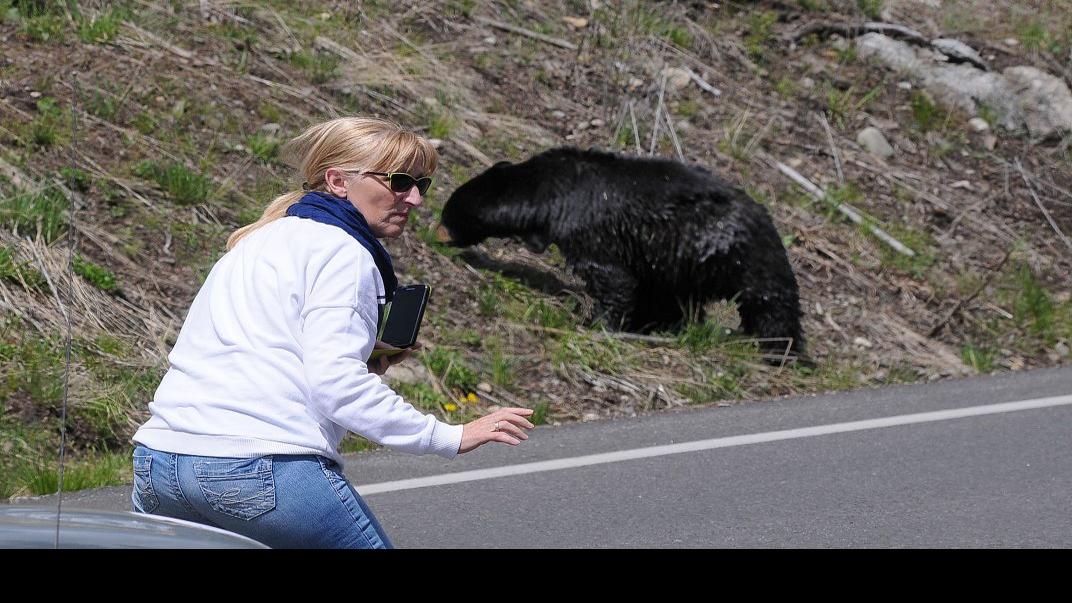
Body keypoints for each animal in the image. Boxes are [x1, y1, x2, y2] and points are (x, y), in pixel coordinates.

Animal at [435, 147, 805, 356]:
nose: (437, 235)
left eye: (451, 214)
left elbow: (614, 279)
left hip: (739, 255)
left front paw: (594, 322)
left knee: (770, 301)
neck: (552, 190)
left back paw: (780, 350)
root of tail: (768, 218)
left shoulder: (589, 230)